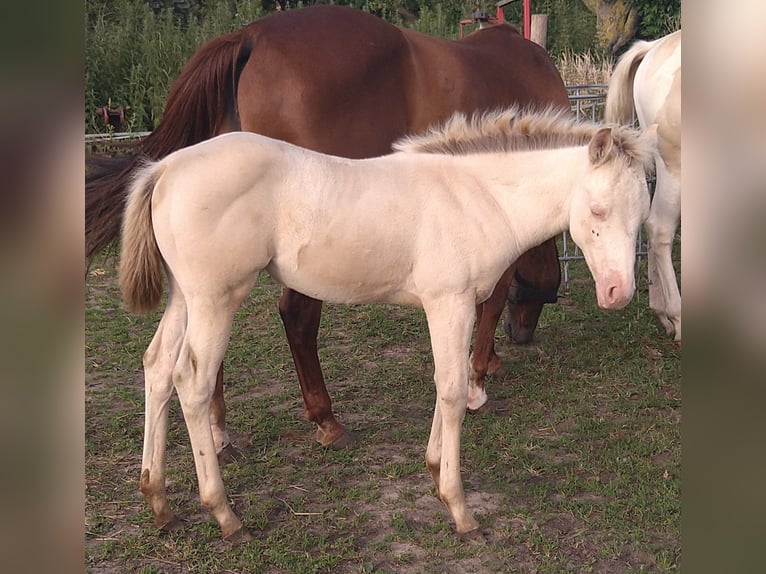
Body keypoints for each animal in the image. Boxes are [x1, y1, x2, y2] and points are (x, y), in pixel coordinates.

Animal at [87, 4, 568, 454]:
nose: (521, 334)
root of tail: (249, 36)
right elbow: (494, 297)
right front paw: (478, 377)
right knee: (297, 316)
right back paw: (326, 419)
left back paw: (217, 430)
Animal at [118, 106, 656, 544]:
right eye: (598, 210)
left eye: (642, 216)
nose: (618, 292)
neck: (476, 196)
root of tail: (165, 169)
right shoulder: (450, 302)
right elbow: (454, 389)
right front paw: (460, 508)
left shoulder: (453, 306)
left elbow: (444, 383)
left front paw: (435, 470)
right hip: (216, 299)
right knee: (192, 381)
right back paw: (225, 515)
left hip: (184, 297)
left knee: (157, 368)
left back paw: (159, 501)